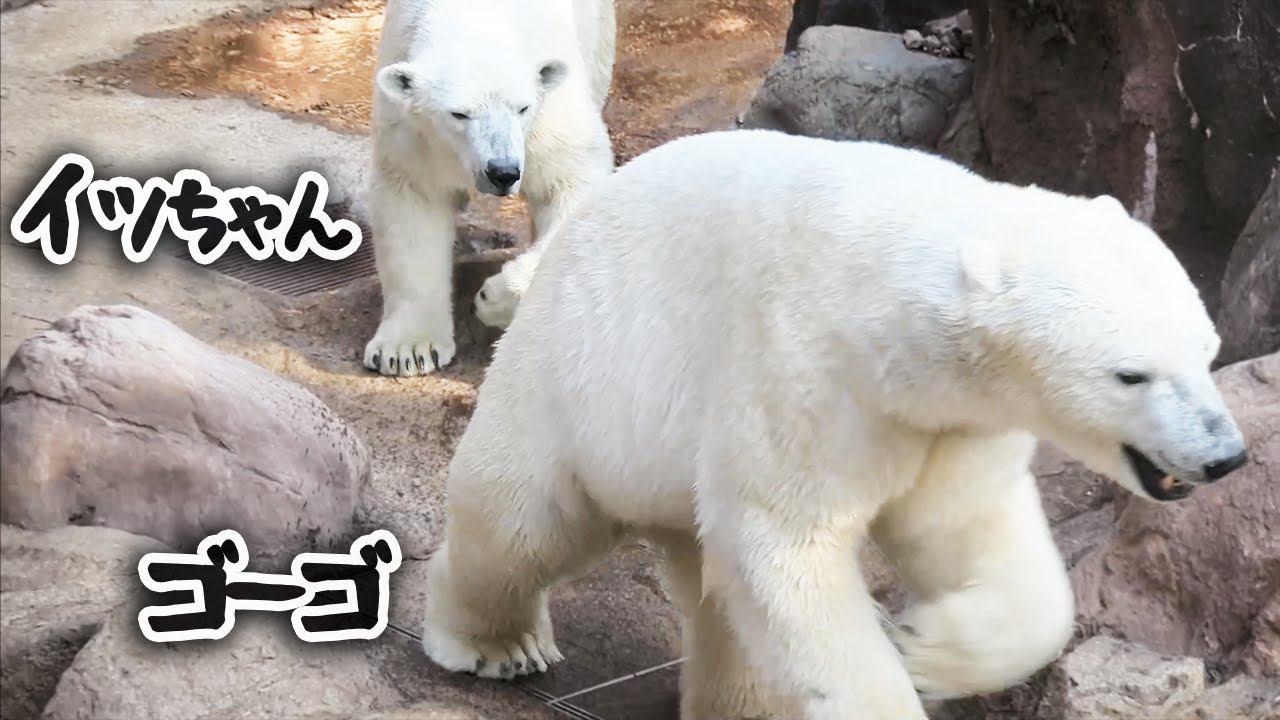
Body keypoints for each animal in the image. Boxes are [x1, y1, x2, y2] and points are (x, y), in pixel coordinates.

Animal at [362, 0, 615, 375]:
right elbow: (413, 206)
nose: (502, 172)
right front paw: (408, 349)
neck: (478, 18)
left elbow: (569, 184)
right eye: (459, 114)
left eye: (522, 107)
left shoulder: (549, 114)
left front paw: (492, 299)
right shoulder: (411, 130)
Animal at [418, 130, 1250, 719]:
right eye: (1131, 374)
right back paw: (498, 644)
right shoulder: (808, 368)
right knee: (525, 520)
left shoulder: (952, 422)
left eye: (1207, 350)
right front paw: (904, 661)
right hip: (579, 376)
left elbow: (964, 531)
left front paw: (934, 646)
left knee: (713, 585)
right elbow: (789, 545)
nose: (1225, 456)